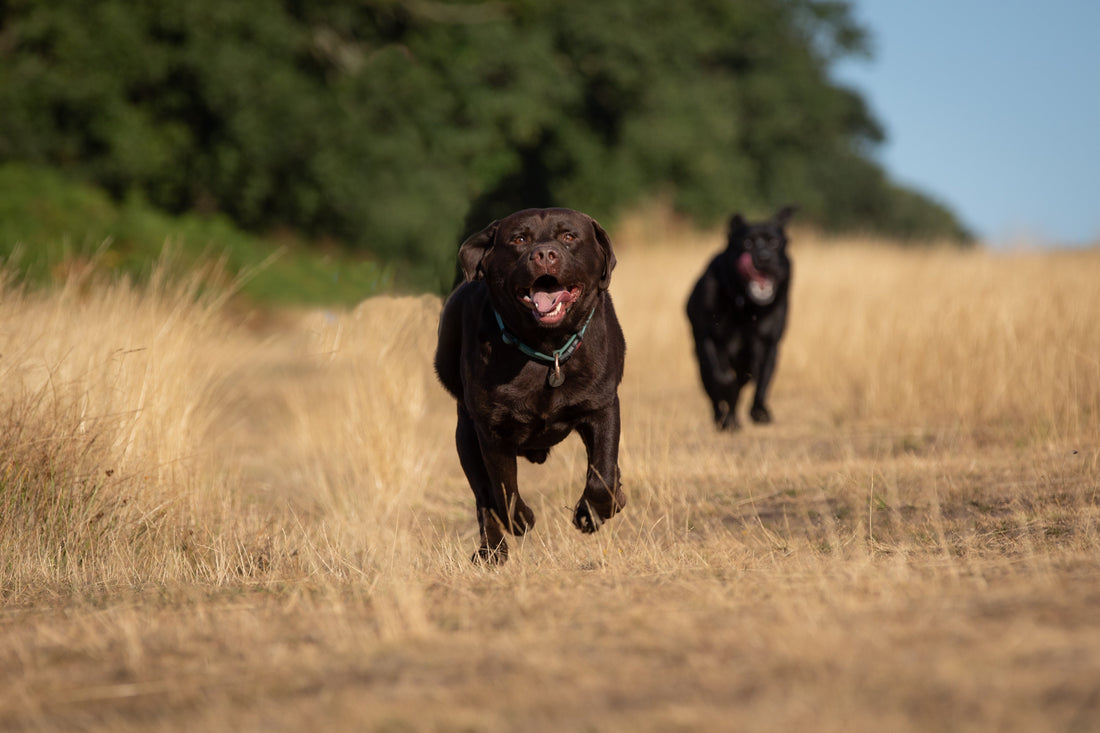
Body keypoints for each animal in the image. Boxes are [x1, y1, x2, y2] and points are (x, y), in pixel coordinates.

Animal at [437, 208, 629, 561]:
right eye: (519, 239)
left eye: (568, 236)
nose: (544, 254)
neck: (547, 350)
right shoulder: (492, 430)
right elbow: (502, 489)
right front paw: (522, 519)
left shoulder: (602, 406)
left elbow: (602, 473)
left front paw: (592, 513)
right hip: (465, 436)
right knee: (483, 496)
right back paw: (491, 551)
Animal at [686, 203, 792, 429]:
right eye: (747, 243)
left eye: (775, 242)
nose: (764, 257)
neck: (747, 308)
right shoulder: (710, 340)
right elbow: (721, 377)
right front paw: (727, 391)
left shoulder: (768, 345)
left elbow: (763, 380)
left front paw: (760, 411)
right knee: (715, 391)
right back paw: (724, 419)